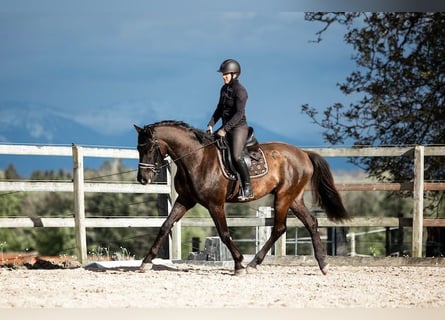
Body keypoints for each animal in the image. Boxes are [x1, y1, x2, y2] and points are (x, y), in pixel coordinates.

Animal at [134, 120, 348, 276]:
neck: (197, 159)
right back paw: (323, 264)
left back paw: (253, 264)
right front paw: (146, 262)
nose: (143, 178)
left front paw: (238, 264)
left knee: (279, 228)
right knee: (311, 222)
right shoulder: (185, 200)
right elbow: (165, 226)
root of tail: (303, 153)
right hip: (294, 199)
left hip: (283, 197)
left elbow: (224, 233)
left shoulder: (215, 204)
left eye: (150, 149)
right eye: (138, 148)